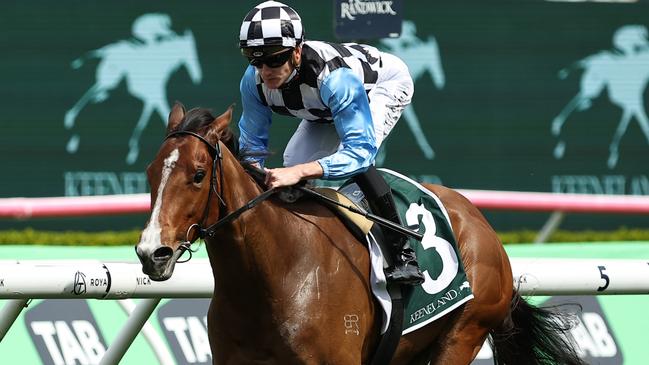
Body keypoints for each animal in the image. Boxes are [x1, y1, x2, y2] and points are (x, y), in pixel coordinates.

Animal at [137, 103, 584, 364]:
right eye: (151, 171)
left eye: (198, 175)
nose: (151, 253)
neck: (272, 275)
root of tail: (480, 222)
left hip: (463, 333)